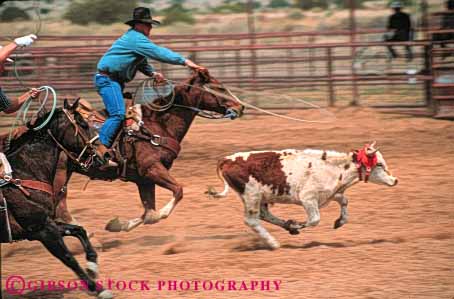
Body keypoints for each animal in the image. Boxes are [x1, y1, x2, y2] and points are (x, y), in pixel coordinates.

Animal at [0, 101, 113, 299]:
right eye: (83, 124)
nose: (106, 154)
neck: (22, 174)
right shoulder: (42, 230)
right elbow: (68, 258)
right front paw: (98, 288)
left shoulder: (43, 226)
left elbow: (79, 230)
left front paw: (92, 267)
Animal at [54, 71, 245, 234]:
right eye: (219, 88)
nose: (241, 106)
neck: (157, 125)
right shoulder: (151, 169)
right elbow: (176, 193)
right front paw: (160, 213)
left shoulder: (143, 179)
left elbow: (148, 213)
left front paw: (117, 224)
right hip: (60, 172)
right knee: (59, 204)